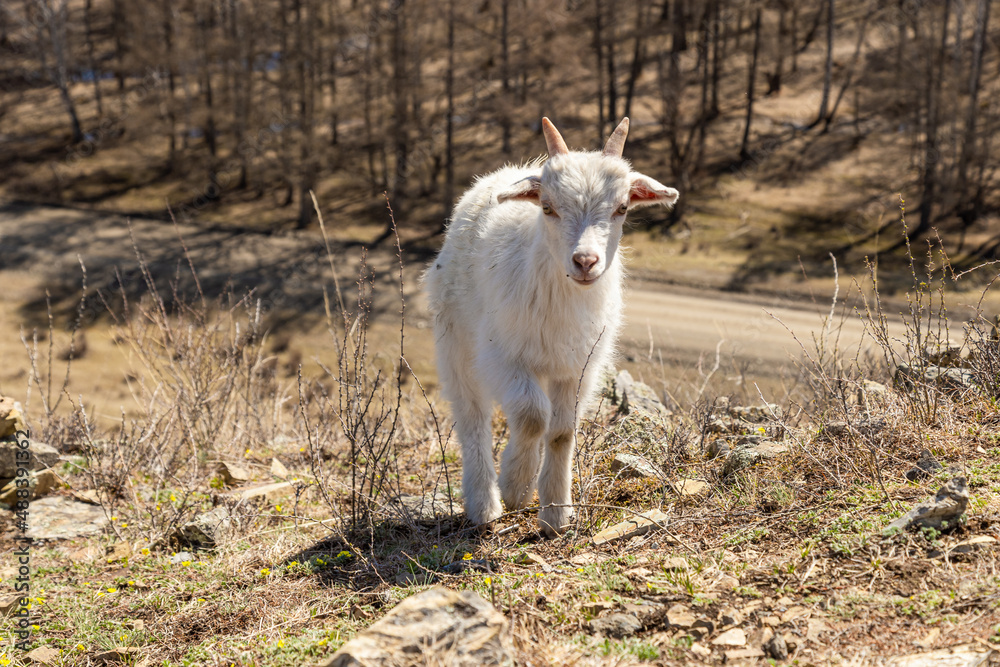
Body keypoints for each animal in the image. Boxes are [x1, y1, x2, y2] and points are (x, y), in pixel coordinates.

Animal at [424, 117, 679, 536]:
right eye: (547, 207)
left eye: (622, 208)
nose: (586, 261)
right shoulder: (502, 355)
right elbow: (531, 418)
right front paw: (516, 487)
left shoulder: (579, 368)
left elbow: (561, 431)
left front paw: (556, 514)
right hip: (455, 342)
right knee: (472, 416)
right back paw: (484, 505)